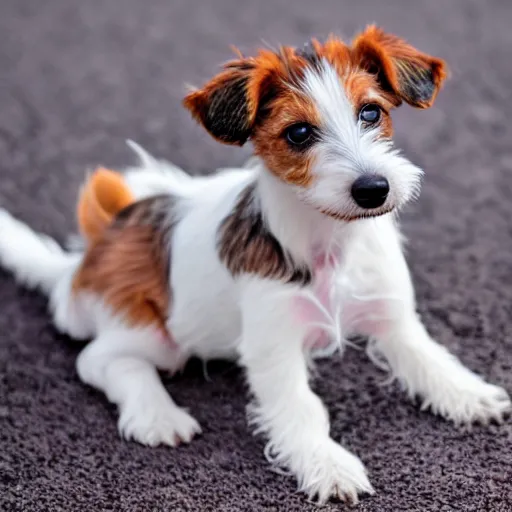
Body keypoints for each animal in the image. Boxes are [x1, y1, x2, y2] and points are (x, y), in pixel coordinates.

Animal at [0, 25, 508, 504]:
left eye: (371, 112)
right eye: (299, 133)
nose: (374, 188)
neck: (330, 240)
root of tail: (82, 259)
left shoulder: (393, 315)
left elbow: (429, 357)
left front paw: (468, 393)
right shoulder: (274, 346)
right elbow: (301, 407)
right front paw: (326, 463)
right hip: (151, 333)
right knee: (99, 359)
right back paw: (156, 413)